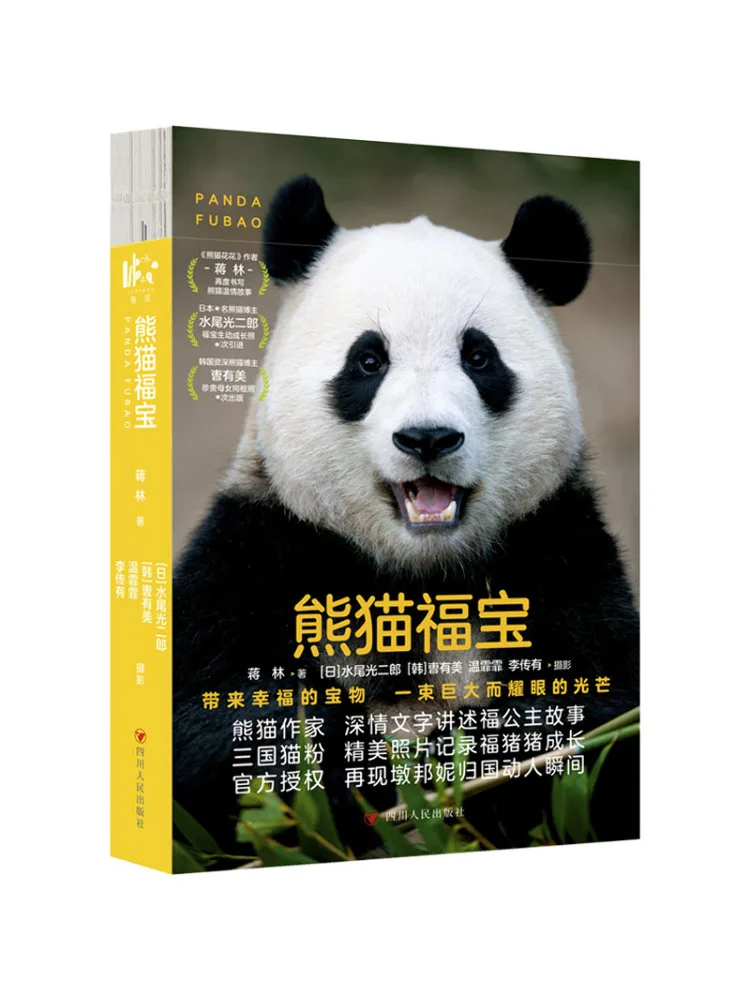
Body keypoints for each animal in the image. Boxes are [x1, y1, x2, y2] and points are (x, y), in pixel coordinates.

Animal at [173, 175, 639, 857]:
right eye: (369, 361)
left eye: (479, 357)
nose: (427, 438)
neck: (417, 573)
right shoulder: (259, 548)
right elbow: (215, 732)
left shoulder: (558, 551)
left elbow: (599, 725)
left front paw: (460, 759)